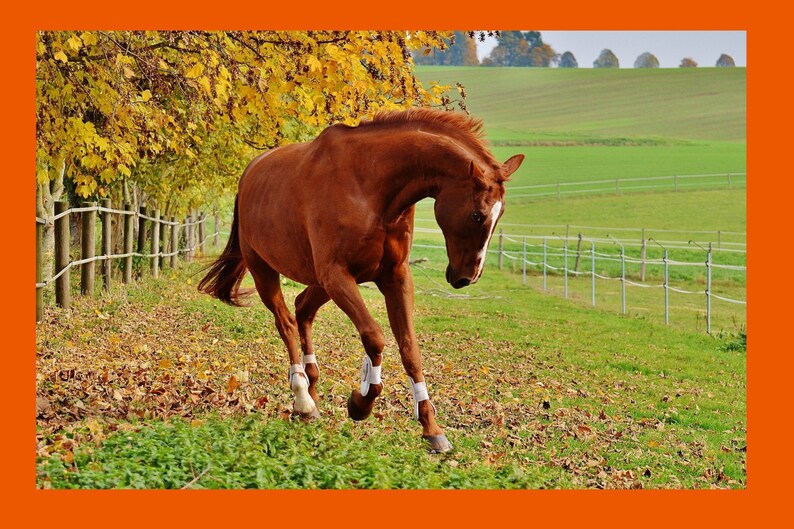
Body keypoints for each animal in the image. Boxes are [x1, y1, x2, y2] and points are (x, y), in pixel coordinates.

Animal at [198, 108, 524, 453]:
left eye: (500, 215)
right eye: (478, 215)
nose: (466, 277)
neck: (370, 187)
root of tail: (250, 173)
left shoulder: (394, 278)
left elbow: (410, 349)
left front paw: (431, 428)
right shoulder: (338, 275)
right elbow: (375, 337)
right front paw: (360, 402)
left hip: (319, 284)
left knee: (302, 309)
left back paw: (312, 393)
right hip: (266, 272)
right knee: (286, 323)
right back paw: (303, 399)